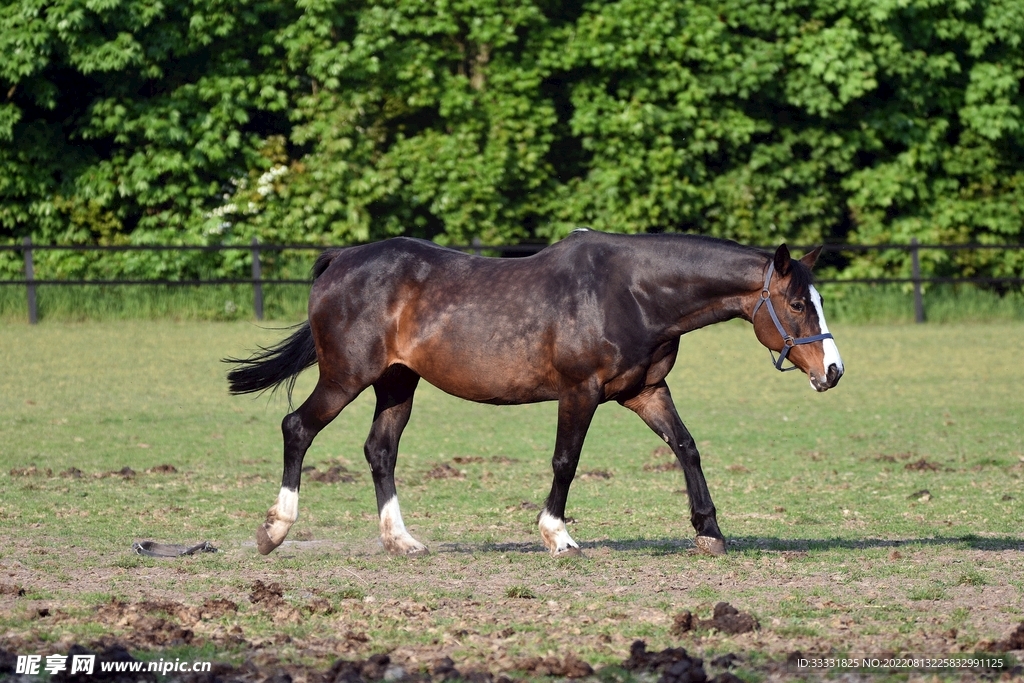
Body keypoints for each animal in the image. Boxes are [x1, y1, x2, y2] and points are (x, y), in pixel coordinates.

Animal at [226, 230, 843, 558]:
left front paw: (709, 532)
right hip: (346, 377)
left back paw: (401, 540)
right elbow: (566, 461)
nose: (833, 371)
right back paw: (274, 530)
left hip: (397, 382)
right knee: (298, 428)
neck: (633, 292)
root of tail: (342, 259)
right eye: (796, 304)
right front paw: (557, 535)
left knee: (380, 450)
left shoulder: (646, 391)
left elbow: (686, 447)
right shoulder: (580, 392)